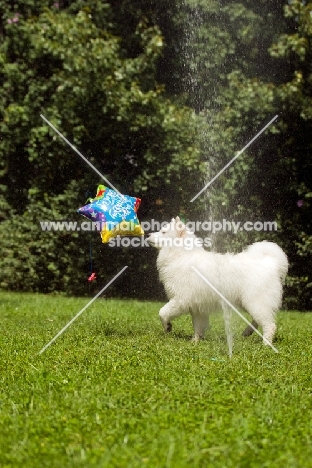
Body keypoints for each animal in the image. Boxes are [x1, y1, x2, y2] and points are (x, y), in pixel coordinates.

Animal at [147, 216, 288, 344]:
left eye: (163, 232)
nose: (147, 234)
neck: (180, 255)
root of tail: (270, 262)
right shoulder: (197, 306)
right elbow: (198, 326)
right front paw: (195, 342)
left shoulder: (181, 300)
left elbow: (162, 312)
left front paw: (167, 327)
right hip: (248, 302)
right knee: (257, 321)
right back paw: (247, 332)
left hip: (255, 301)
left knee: (269, 325)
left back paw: (266, 344)